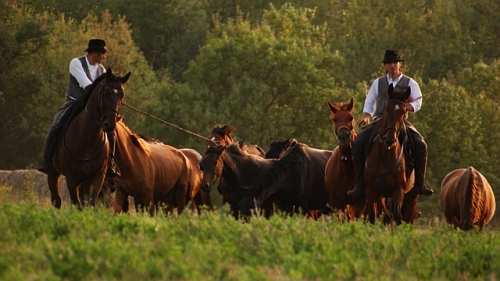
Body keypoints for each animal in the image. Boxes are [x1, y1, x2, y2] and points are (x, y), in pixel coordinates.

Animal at [47, 68, 131, 208]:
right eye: (106, 92)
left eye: (122, 96)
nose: (109, 125)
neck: (87, 139)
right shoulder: (71, 178)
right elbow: (76, 205)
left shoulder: (97, 177)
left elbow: (90, 204)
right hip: (54, 172)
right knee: (56, 201)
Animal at [362, 84, 420, 224]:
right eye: (387, 109)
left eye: (403, 112)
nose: (390, 139)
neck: (384, 157)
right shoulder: (371, 191)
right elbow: (372, 217)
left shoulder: (398, 190)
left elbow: (397, 217)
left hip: (409, 197)